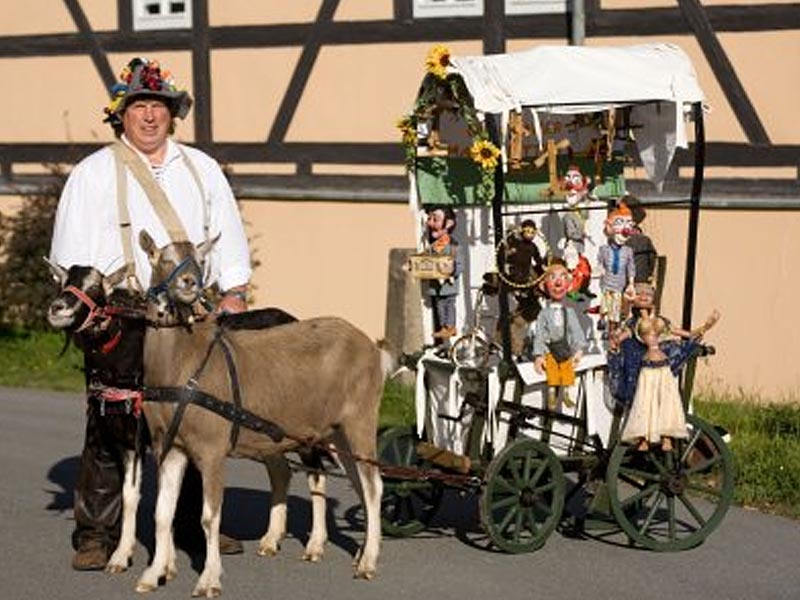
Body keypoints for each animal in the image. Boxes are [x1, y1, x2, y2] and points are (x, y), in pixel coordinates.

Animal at [135, 231, 384, 596]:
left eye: (200, 259)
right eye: (164, 258)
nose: (189, 281)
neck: (182, 364)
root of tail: (369, 345)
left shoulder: (211, 448)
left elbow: (209, 517)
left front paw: (209, 580)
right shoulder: (169, 447)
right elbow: (162, 514)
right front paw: (152, 575)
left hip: (361, 417)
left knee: (373, 485)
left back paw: (367, 563)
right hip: (335, 431)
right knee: (358, 481)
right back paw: (358, 553)